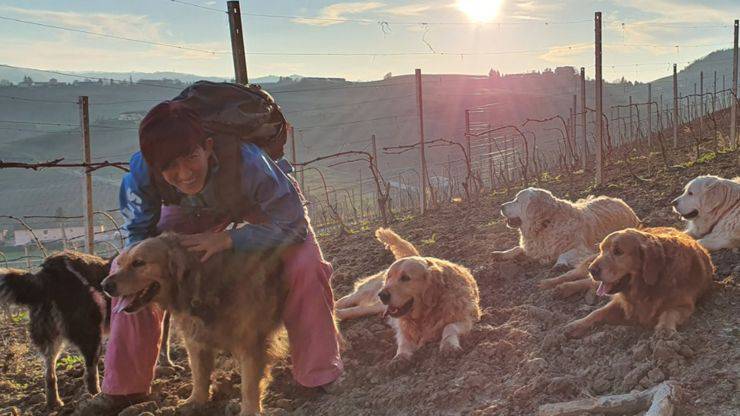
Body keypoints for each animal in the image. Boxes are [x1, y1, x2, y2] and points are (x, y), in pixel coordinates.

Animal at [1, 252, 175, 408]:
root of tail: (49, 272)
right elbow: (163, 342)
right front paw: (168, 365)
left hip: (50, 339)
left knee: (49, 374)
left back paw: (54, 403)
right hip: (92, 335)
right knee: (90, 373)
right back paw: (96, 395)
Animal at [102, 234, 288, 416]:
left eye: (139, 263)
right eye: (120, 263)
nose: (105, 285)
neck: (202, 279)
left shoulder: (251, 342)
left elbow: (249, 384)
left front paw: (249, 411)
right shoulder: (195, 339)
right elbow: (199, 373)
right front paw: (195, 401)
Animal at [494, 188, 640, 268]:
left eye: (517, 200)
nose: (500, 206)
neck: (545, 224)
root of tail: (620, 200)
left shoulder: (582, 248)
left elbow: (564, 253)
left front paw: (560, 263)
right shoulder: (533, 247)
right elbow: (517, 248)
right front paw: (501, 254)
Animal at [564, 228, 712, 338]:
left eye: (618, 251)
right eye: (601, 250)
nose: (592, 270)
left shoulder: (685, 305)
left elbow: (669, 313)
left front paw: (664, 329)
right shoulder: (621, 303)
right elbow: (598, 312)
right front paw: (577, 324)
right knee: (583, 279)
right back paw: (563, 286)